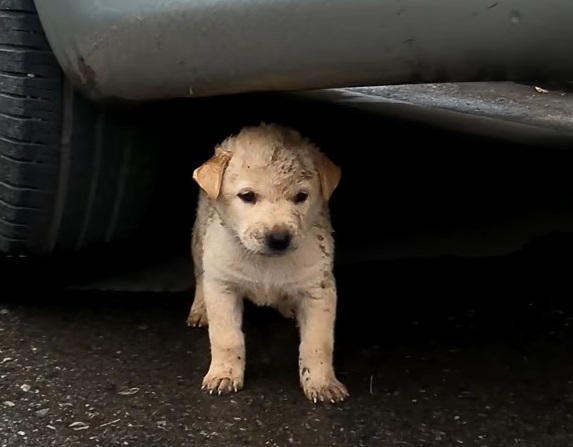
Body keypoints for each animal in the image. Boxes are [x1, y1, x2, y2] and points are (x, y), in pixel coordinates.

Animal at [188, 123, 348, 406]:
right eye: (247, 196)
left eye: (301, 196)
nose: (279, 238)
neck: (265, 263)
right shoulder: (223, 285)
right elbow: (226, 338)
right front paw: (224, 374)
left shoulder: (318, 289)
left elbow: (318, 343)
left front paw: (322, 383)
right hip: (199, 239)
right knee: (199, 275)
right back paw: (199, 309)